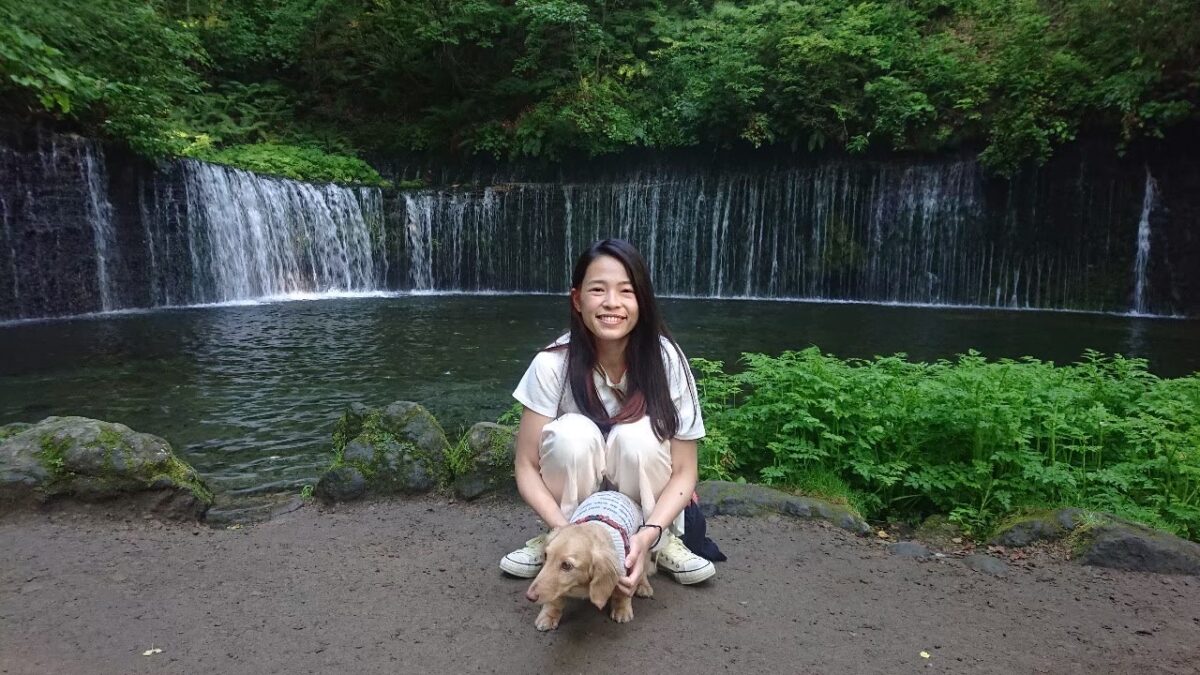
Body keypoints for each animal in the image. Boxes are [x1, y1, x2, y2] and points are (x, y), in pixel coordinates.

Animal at [525, 492, 657, 629]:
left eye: (566, 565)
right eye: (546, 555)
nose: (529, 597)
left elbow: (622, 592)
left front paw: (622, 609)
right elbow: (555, 598)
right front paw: (549, 615)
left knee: (643, 571)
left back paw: (644, 586)